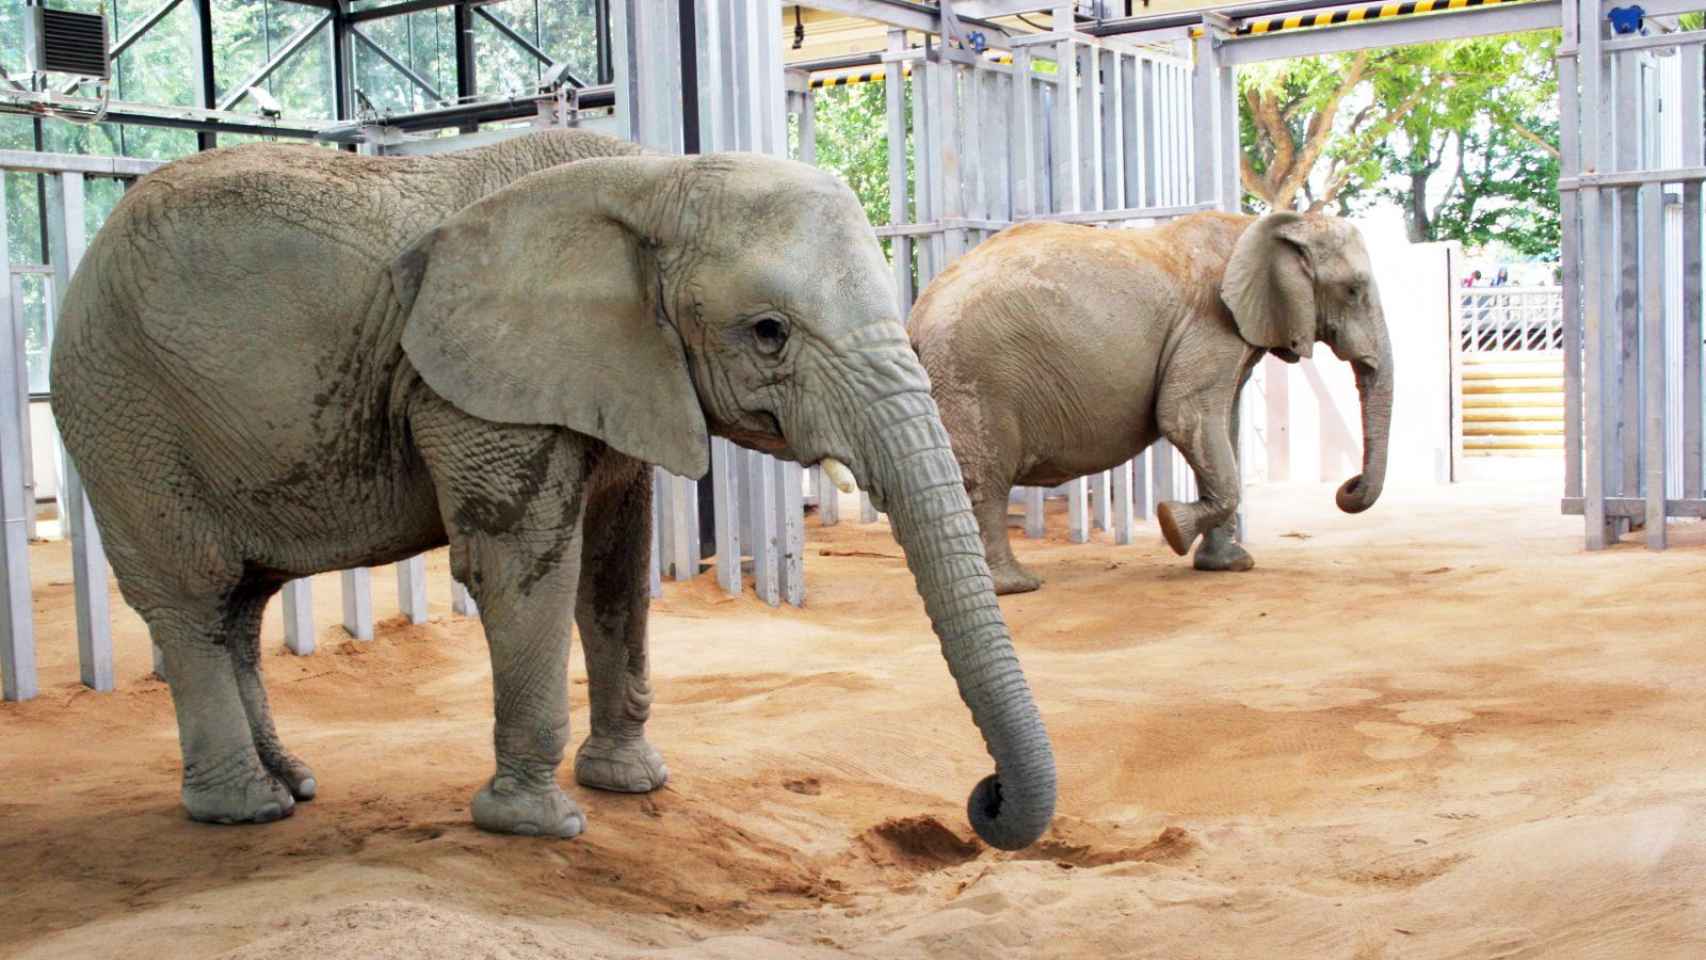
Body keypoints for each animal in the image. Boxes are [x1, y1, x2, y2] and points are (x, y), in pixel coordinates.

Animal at [53, 127, 1050, 849]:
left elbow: (616, 563)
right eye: (768, 332)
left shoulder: (615, 373)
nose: (986, 798)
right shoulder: (473, 386)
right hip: (122, 412)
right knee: (191, 597)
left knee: (243, 606)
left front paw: (630, 784)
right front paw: (538, 826)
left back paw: (292, 783)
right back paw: (245, 809)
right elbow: (520, 564)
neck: (651, 179)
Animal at [914, 213, 1392, 596]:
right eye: (1353, 290)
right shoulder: (1211, 326)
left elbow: (1223, 427)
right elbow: (1184, 417)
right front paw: (1172, 525)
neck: (1268, 225)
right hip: (977, 374)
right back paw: (1014, 586)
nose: (1347, 487)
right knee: (988, 479)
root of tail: (919, 312)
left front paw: (1229, 565)